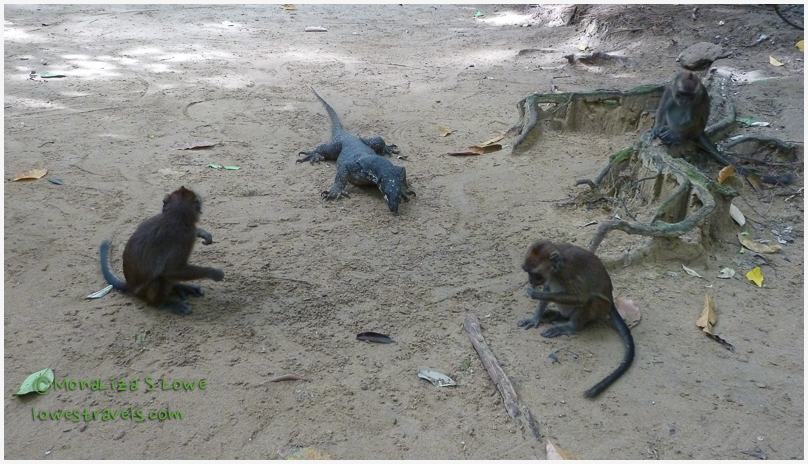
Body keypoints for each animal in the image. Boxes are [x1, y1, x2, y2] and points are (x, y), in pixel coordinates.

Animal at [99, 186, 224, 315]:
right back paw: (164, 303)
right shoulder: (184, 238)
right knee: (159, 278)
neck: (175, 217)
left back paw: (178, 287)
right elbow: (171, 270)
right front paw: (213, 273)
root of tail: (130, 286)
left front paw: (202, 232)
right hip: (144, 292)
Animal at [518, 240, 634, 398]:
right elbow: (548, 287)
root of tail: (611, 304)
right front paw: (536, 317)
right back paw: (556, 316)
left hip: (601, 308)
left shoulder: (567, 272)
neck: (556, 268)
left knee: (590, 298)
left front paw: (536, 294)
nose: (530, 281)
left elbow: (582, 297)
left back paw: (570, 326)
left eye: (535, 274)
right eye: (527, 272)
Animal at [652, 71, 794, 185]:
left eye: (689, 96)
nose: (684, 100)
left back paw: (677, 136)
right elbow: (663, 107)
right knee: (672, 106)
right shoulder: (670, 88)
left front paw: (673, 133)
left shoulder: (698, 97)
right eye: (681, 94)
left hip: (695, 129)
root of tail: (700, 131)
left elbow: (692, 118)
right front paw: (656, 129)